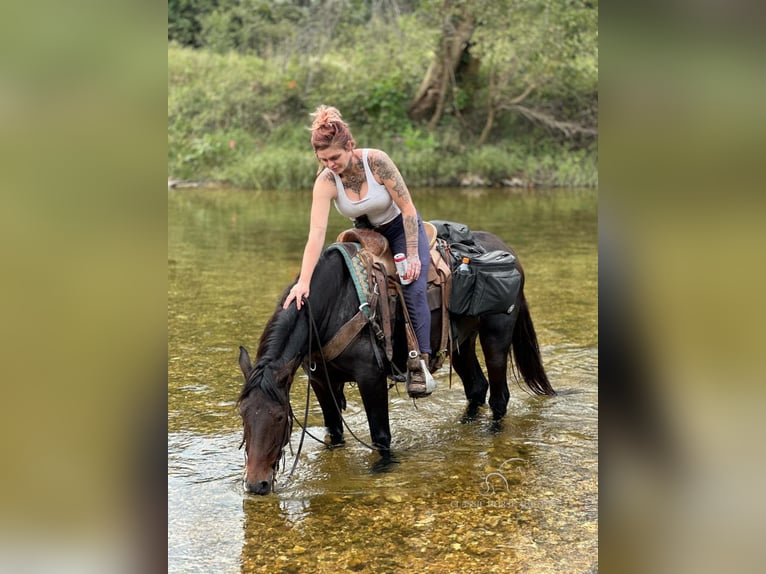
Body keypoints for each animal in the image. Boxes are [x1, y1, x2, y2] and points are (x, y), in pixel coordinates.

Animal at [237, 230, 556, 496]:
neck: (333, 306)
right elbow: (335, 433)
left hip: (496, 337)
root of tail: (508, 252)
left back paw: (490, 432)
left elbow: (381, 435)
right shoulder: (320, 381)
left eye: (280, 417)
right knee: (477, 387)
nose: (255, 485)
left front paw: (383, 467)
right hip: (461, 343)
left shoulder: (371, 378)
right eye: (243, 414)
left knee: (499, 396)